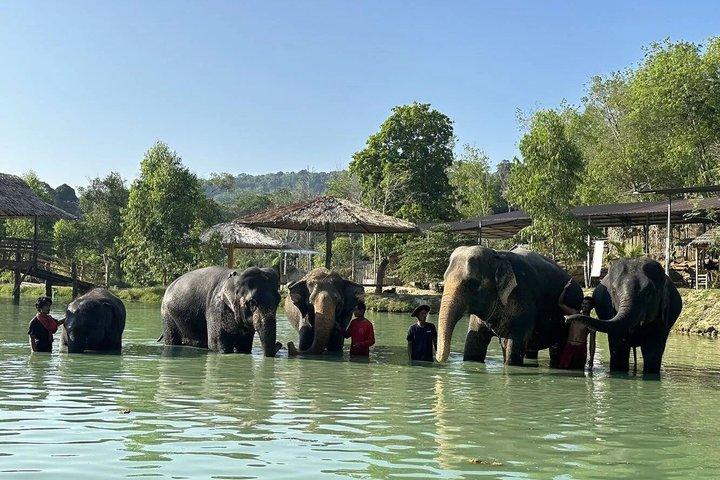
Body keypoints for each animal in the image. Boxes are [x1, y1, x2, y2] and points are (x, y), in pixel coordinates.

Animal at [436, 245, 583, 366]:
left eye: (473, 283)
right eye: (443, 279)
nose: (438, 358)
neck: (498, 255)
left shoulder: (523, 301)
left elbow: (513, 348)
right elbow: (474, 344)